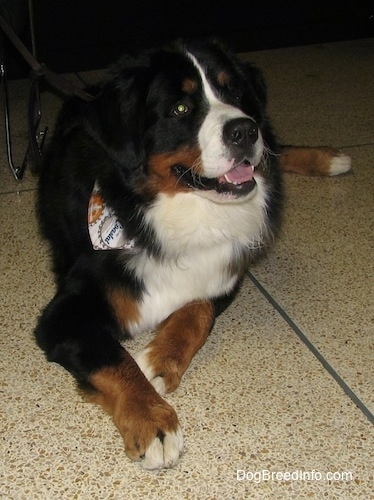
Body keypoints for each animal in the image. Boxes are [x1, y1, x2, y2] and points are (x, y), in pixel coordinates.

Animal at [34, 38, 350, 468]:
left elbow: (197, 312)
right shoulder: (65, 314)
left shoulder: (227, 274)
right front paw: (152, 421)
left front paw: (158, 360)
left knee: (275, 149)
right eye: (180, 109)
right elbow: (117, 360)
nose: (244, 130)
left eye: (234, 93)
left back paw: (329, 158)